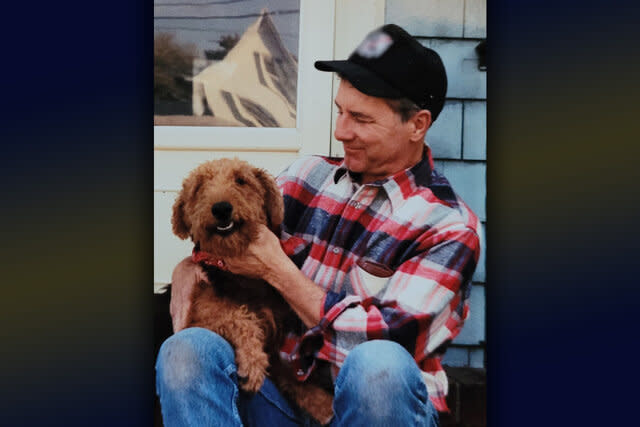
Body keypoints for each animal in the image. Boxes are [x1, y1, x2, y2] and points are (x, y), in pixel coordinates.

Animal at [170, 159, 332, 426]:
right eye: (199, 186)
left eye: (241, 180)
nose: (221, 208)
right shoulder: (199, 315)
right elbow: (238, 317)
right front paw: (253, 366)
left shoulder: (275, 342)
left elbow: (291, 377)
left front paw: (324, 404)